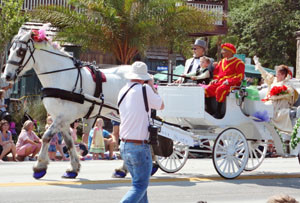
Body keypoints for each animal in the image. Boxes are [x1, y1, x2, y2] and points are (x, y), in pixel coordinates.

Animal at [2, 27, 129, 179]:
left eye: (21, 51)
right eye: (9, 50)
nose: (7, 76)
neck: (60, 76)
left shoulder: (64, 116)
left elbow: (46, 136)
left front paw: (39, 166)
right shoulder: (61, 118)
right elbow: (68, 142)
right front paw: (73, 168)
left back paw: (124, 169)